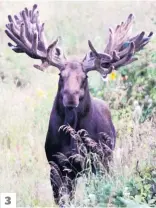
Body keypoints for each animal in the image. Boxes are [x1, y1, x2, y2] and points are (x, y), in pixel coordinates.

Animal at [4, 4, 152, 204]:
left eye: (85, 77)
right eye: (61, 75)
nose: (70, 97)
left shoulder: (96, 163)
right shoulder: (57, 165)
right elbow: (63, 200)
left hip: (108, 159)